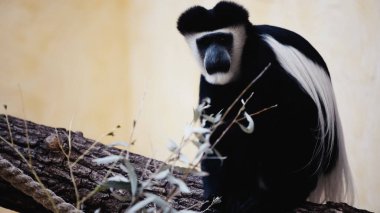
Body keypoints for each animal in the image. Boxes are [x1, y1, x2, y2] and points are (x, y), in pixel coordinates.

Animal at [177, 1, 354, 213]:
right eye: (204, 42)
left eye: (222, 38)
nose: (215, 56)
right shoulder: (209, 84)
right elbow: (215, 134)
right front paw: (215, 199)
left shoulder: (265, 60)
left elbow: (293, 112)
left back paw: (279, 196)